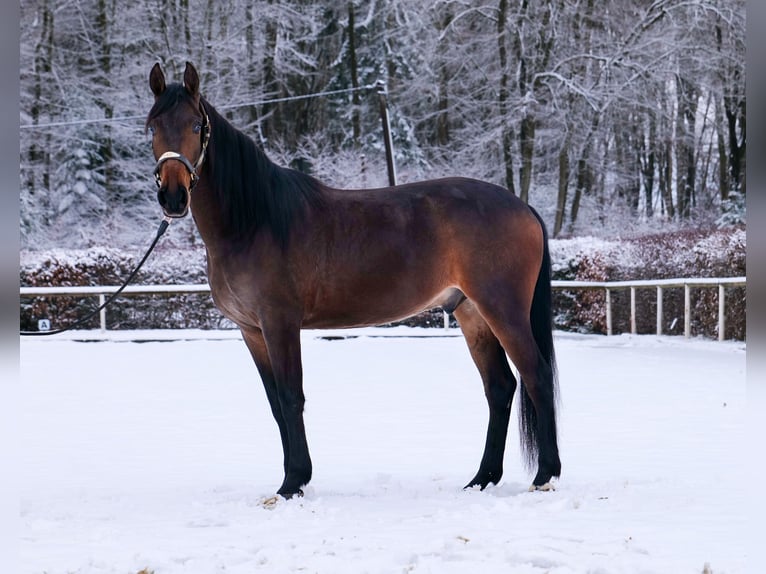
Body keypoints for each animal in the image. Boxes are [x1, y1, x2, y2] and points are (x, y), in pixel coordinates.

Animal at [147, 60, 560, 498]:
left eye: (196, 126)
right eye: (152, 126)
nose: (173, 196)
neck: (254, 220)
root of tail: (523, 207)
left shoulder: (280, 324)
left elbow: (291, 397)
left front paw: (293, 482)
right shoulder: (251, 331)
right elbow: (276, 403)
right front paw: (292, 478)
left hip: (503, 310)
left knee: (536, 376)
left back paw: (545, 475)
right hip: (471, 313)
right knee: (499, 388)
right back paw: (482, 478)